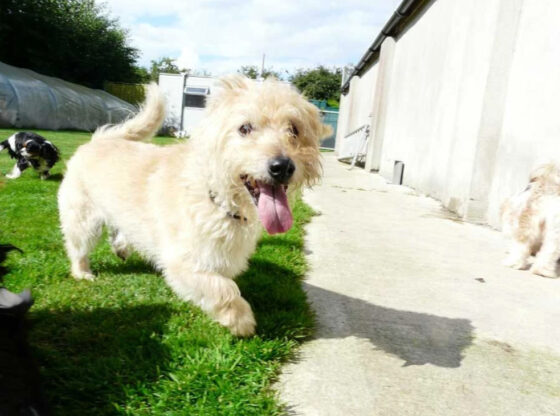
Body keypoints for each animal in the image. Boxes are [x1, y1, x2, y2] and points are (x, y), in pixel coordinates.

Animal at [58, 76, 328, 336]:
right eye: (245, 128)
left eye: (294, 129)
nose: (283, 166)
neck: (218, 200)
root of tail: (96, 141)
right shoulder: (182, 262)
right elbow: (223, 288)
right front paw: (240, 320)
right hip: (83, 220)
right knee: (78, 247)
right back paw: (82, 272)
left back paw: (121, 247)